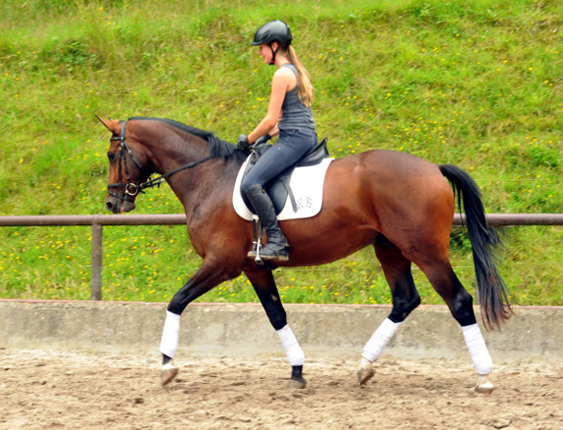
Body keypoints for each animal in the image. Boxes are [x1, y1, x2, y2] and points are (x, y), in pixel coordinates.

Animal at [99, 116, 512, 394]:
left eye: (111, 154)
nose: (112, 203)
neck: (209, 177)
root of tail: (434, 169)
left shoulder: (222, 263)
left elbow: (176, 301)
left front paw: (167, 365)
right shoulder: (254, 267)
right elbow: (277, 315)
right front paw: (297, 370)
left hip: (424, 251)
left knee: (458, 301)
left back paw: (484, 376)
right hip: (389, 248)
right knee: (405, 300)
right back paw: (364, 366)